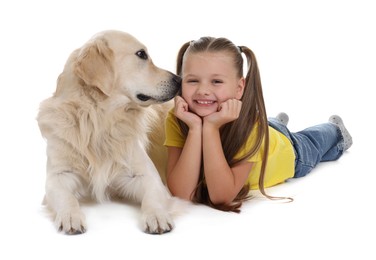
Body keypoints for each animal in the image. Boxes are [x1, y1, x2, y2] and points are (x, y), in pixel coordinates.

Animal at [37, 29, 181, 235]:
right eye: (141, 54)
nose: (180, 80)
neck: (99, 119)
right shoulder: (58, 175)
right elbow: (67, 197)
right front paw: (70, 216)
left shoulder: (148, 176)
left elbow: (152, 197)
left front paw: (157, 216)